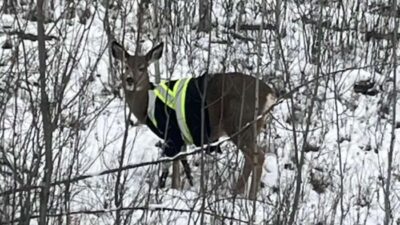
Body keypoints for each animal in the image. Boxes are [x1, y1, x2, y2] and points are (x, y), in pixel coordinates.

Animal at [111, 39, 276, 200]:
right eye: (126, 66)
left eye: (142, 67)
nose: (130, 79)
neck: (146, 105)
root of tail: (269, 94)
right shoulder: (180, 137)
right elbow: (180, 162)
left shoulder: (172, 132)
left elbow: (173, 163)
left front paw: (172, 190)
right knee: (251, 158)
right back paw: (238, 193)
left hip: (240, 123)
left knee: (258, 156)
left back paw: (248, 198)